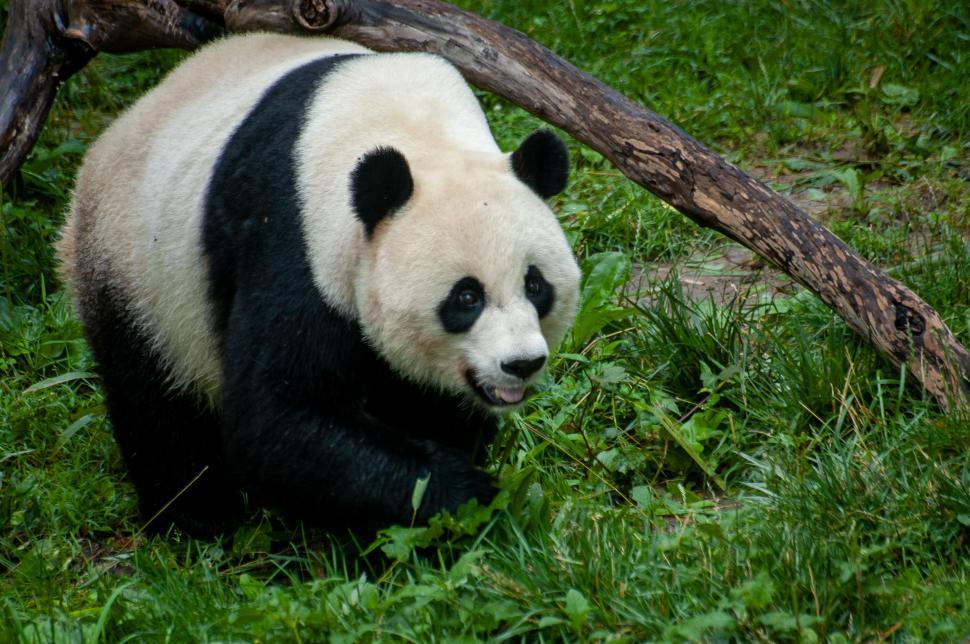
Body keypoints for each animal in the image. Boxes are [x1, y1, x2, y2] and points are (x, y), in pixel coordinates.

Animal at [57, 33, 580, 536]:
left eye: (536, 286)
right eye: (466, 297)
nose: (521, 364)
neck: (419, 133)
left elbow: (428, 402)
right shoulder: (294, 234)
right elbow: (279, 415)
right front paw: (465, 494)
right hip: (139, 270)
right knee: (155, 403)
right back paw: (194, 517)